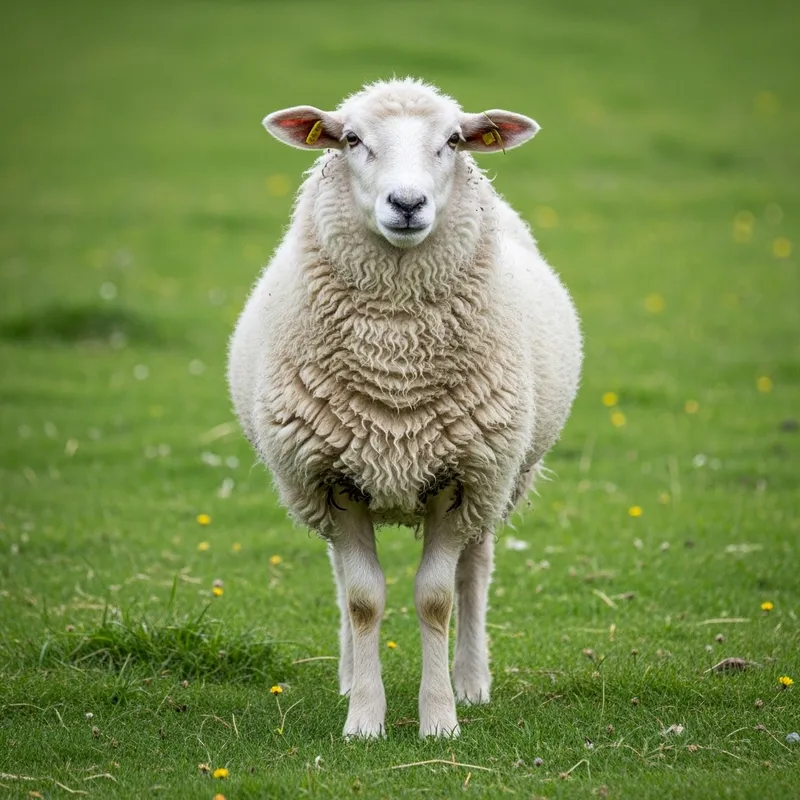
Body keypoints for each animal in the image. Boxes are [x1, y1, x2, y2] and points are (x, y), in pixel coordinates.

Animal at [227, 78, 582, 740]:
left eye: (453, 141)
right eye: (350, 139)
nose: (408, 202)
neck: (394, 358)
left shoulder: (462, 478)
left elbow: (436, 599)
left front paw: (440, 718)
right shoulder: (331, 478)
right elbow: (363, 599)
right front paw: (364, 720)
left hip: (501, 479)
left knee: (475, 572)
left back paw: (471, 680)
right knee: (343, 578)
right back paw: (348, 676)